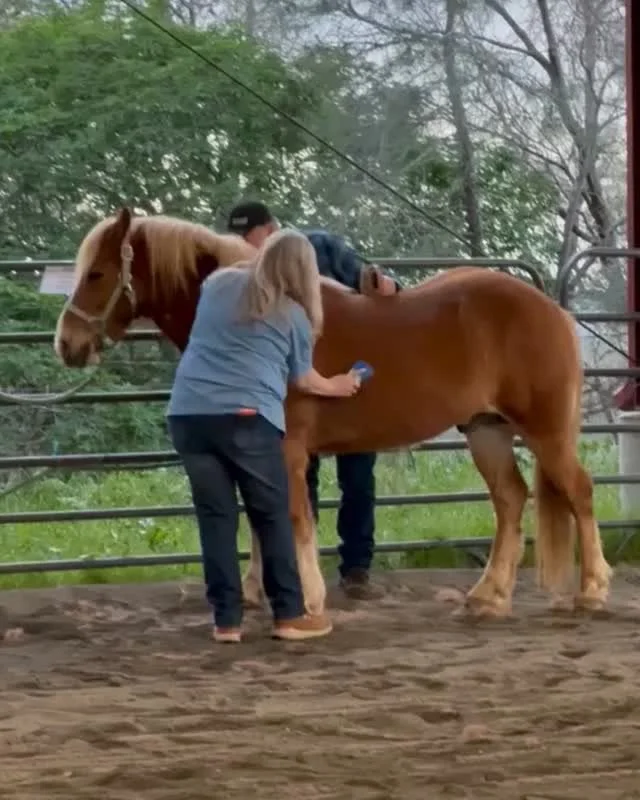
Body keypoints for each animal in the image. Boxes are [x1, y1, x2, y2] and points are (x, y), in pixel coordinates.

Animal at [54, 207, 612, 619]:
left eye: (97, 273)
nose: (67, 344)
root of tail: (552, 310)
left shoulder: (288, 447)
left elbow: (294, 516)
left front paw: (307, 597)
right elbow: (263, 517)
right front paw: (262, 591)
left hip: (544, 430)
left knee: (579, 491)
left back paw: (592, 590)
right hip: (485, 429)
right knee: (510, 500)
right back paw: (488, 595)